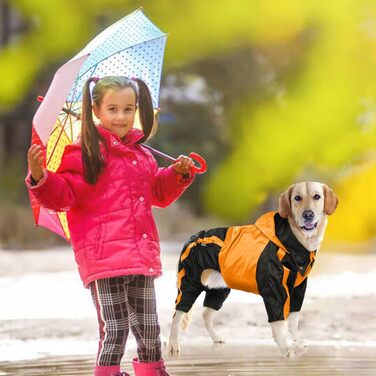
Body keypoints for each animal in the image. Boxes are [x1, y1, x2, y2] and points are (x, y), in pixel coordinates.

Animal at [167, 182, 338, 358]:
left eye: (317, 196)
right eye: (297, 198)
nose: (308, 214)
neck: (293, 241)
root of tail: (194, 237)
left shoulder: (298, 289)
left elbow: (293, 319)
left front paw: (297, 341)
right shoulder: (275, 289)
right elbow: (279, 322)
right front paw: (285, 347)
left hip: (219, 289)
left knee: (206, 314)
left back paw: (216, 337)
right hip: (190, 282)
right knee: (177, 315)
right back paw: (173, 344)